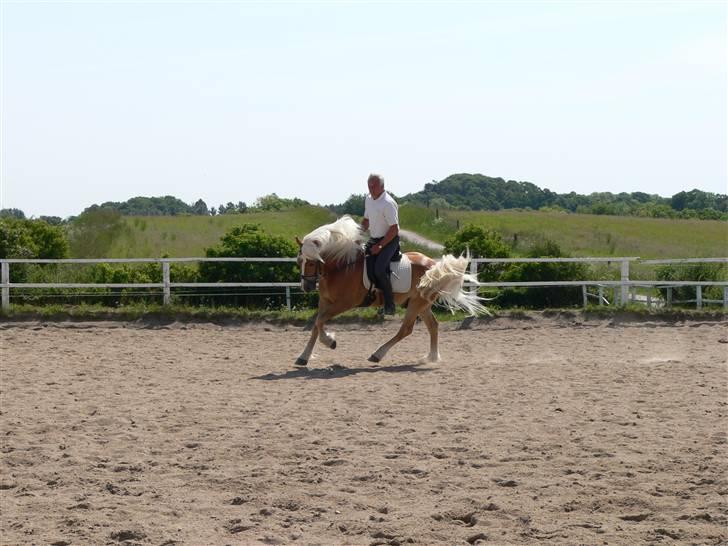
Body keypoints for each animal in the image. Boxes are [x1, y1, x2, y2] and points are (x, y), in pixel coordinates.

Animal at [292, 215, 486, 364]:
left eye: (311, 262)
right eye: (299, 261)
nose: (306, 287)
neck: (341, 267)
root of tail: (434, 265)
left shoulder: (344, 303)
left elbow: (320, 322)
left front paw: (330, 341)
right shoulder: (325, 302)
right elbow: (316, 324)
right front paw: (303, 357)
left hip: (417, 304)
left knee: (406, 329)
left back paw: (377, 354)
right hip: (421, 303)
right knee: (433, 326)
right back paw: (431, 357)